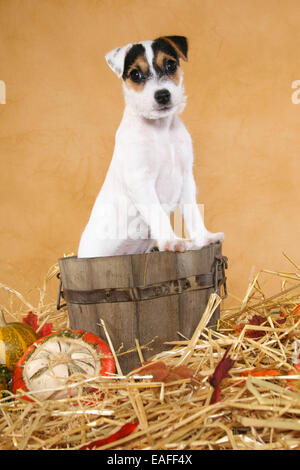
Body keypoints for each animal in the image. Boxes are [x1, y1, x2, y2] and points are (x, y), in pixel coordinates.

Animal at [78, 35, 224, 258]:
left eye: (170, 65)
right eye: (136, 74)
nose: (162, 95)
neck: (161, 130)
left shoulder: (186, 178)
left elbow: (193, 213)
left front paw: (204, 238)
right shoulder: (141, 180)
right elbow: (159, 215)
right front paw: (172, 241)